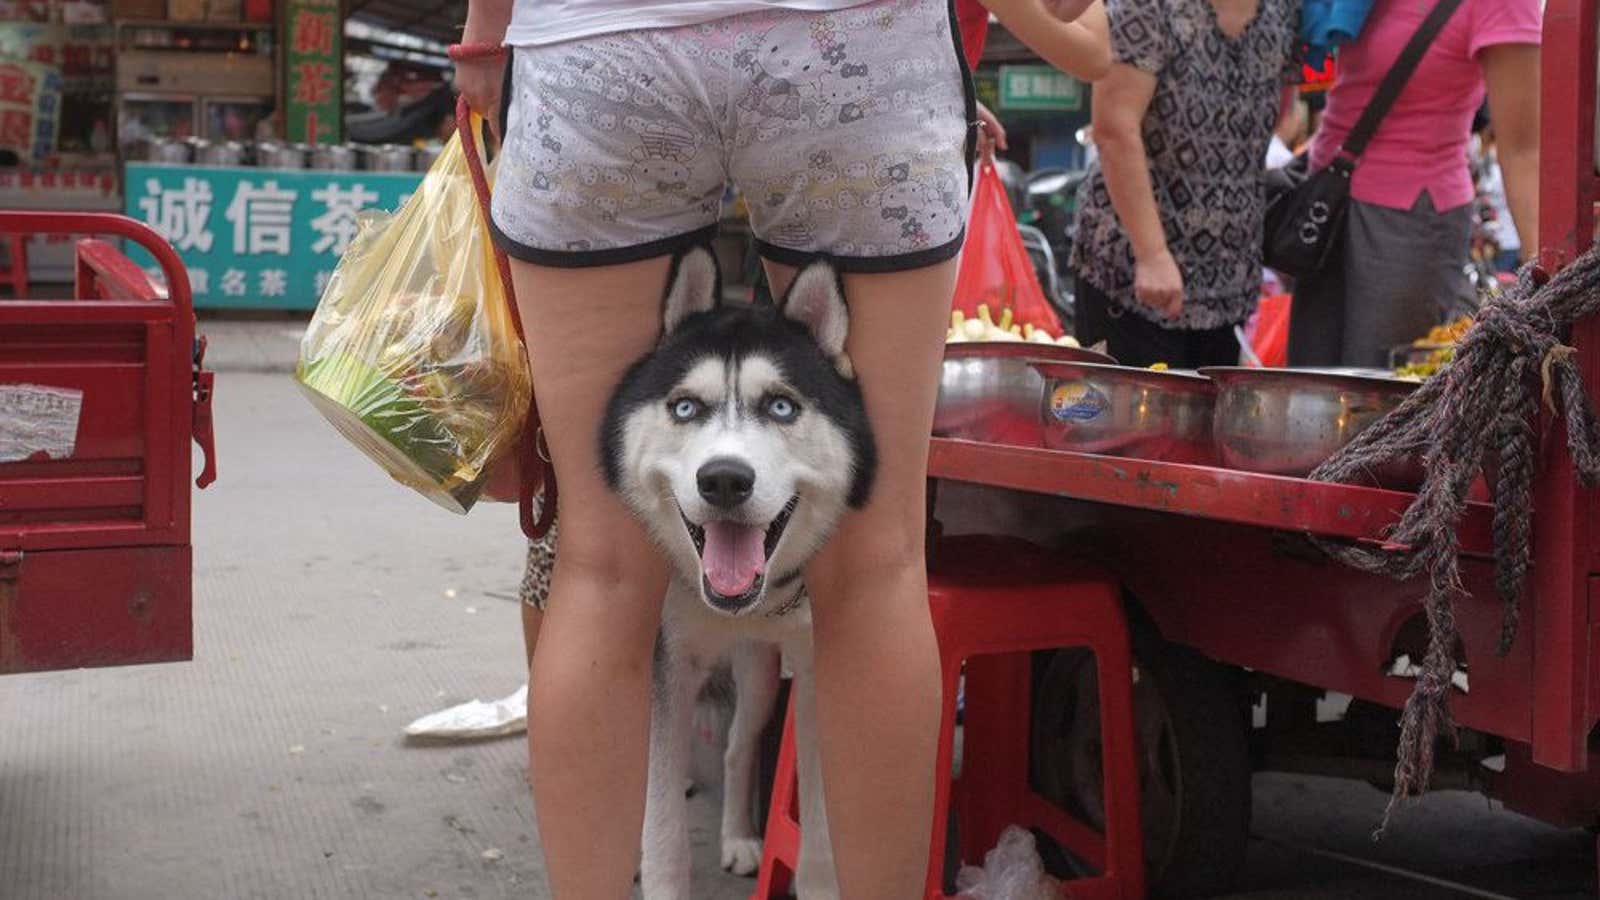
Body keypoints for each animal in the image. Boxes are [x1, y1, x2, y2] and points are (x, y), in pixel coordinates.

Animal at [601, 245, 876, 896]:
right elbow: (662, 829)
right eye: (685, 407)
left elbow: (823, 828)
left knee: (737, 745)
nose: (724, 479)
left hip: (759, 675)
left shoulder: (817, 671)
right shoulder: (664, 666)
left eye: (781, 406)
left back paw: (738, 836)